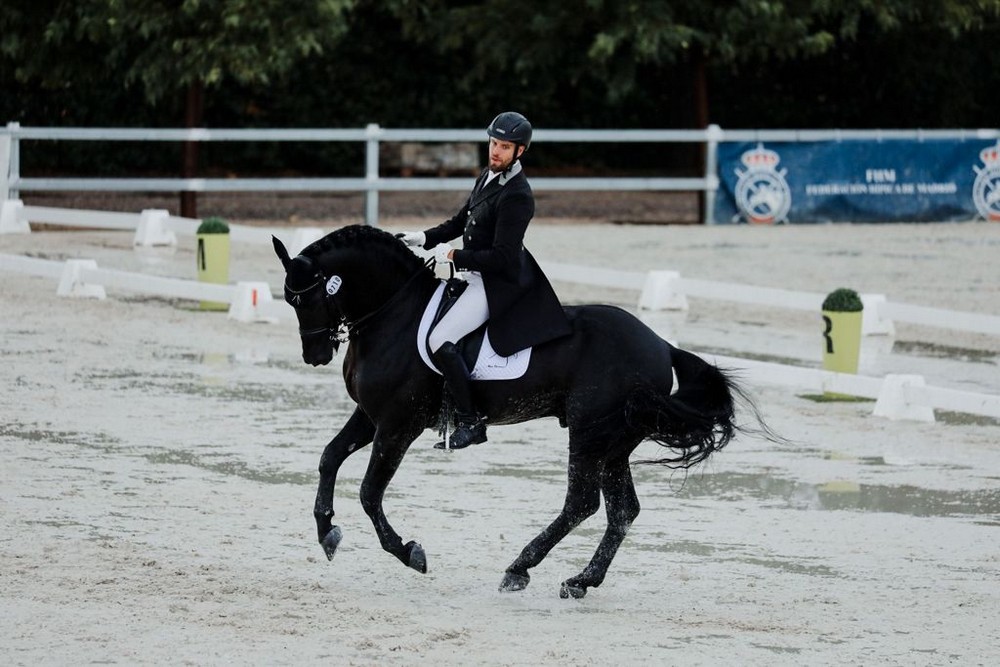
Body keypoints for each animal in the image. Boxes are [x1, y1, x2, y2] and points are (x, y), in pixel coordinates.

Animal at [273, 224, 772, 599]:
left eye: (304, 298)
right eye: (289, 300)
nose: (315, 355)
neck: (393, 315)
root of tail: (662, 345)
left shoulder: (398, 424)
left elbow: (369, 493)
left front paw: (409, 551)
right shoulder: (370, 414)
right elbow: (329, 458)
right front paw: (327, 533)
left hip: (589, 433)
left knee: (581, 503)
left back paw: (519, 568)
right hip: (614, 443)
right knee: (622, 511)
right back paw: (580, 581)